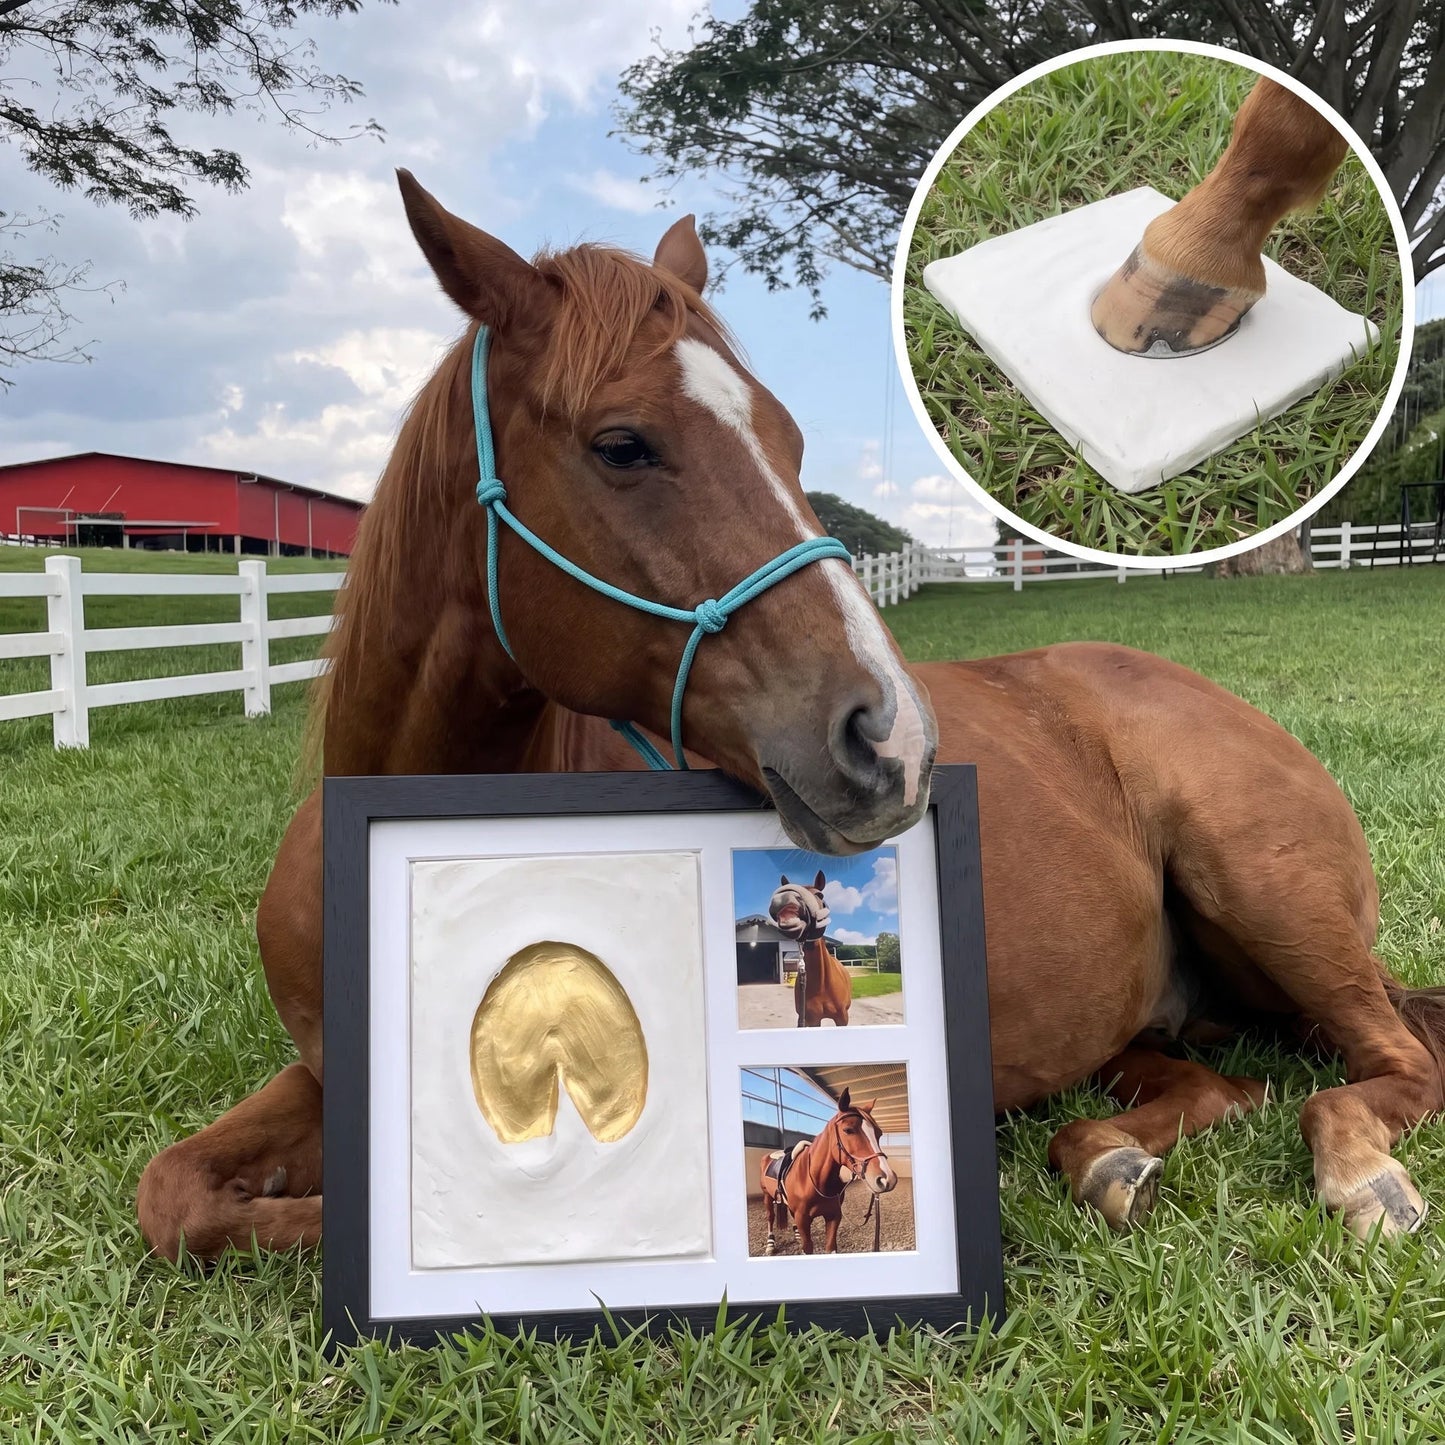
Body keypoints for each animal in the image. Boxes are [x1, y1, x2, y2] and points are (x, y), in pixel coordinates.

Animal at [759, 1089, 895, 1255]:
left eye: (879, 1133)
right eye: (848, 1130)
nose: (887, 1179)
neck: (815, 1180)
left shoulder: (833, 1216)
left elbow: (830, 1247)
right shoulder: (803, 1220)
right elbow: (807, 1247)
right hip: (767, 1196)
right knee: (770, 1217)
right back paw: (770, 1244)